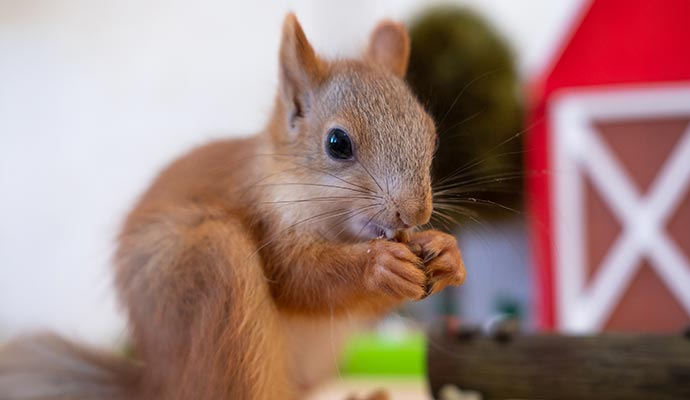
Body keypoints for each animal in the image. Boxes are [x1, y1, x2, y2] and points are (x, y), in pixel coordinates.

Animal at [0, 13, 465, 400]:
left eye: (431, 133)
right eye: (337, 143)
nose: (414, 213)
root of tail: (157, 385)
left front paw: (447, 253)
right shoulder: (266, 221)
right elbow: (300, 280)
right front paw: (379, 265)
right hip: (211, 261)